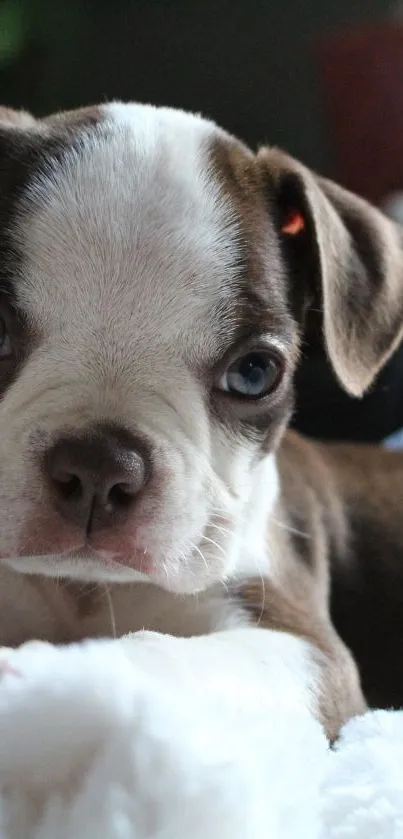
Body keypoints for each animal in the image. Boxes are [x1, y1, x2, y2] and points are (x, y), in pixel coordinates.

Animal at [0, 101, 402, 740]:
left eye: (254, 373)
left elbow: (160, 651)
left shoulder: (304, 648)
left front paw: (42, 677)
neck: (82, 589)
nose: (99, 467)